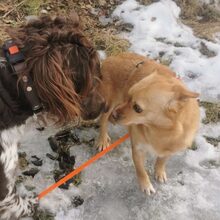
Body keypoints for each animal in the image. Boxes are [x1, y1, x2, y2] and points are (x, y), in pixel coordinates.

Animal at [97, 52, 199, 195]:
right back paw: (102, 139)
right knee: (103, 120)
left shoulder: (170, 149)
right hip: (109, 104)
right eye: (128, 95)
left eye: (137, 108)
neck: (160, 130)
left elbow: (162, 160)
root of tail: (112, 57)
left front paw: (159, 171)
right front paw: (146, 185)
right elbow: (141, 169)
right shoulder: (138, 149)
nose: (115, 115)